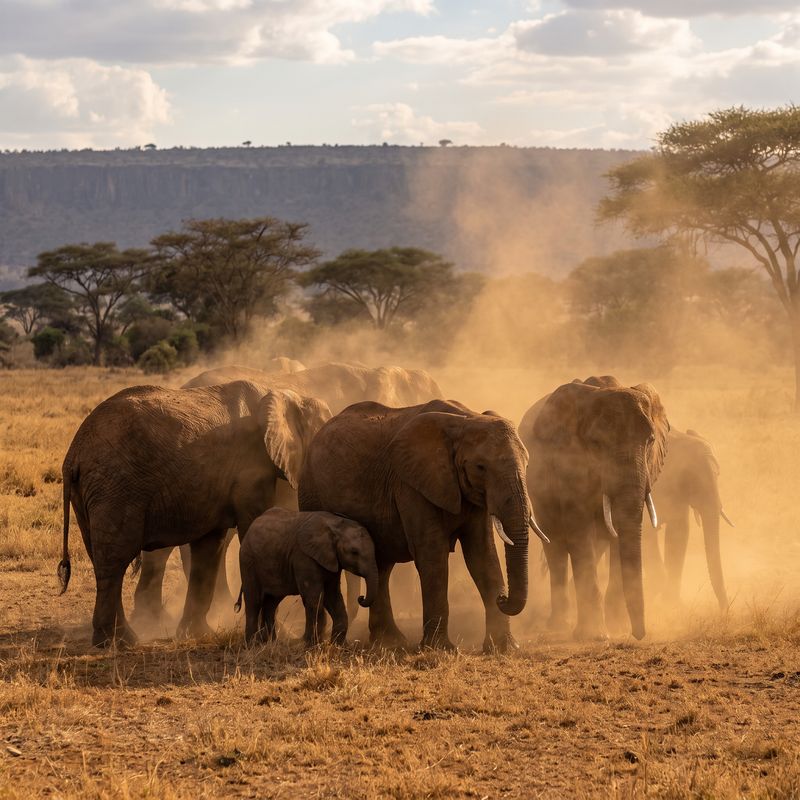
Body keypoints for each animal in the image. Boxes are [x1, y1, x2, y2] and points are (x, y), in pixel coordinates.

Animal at [58, 381, 331, 646]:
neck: (283, 393)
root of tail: (73, 454)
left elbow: (209, 547)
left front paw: (197, 634)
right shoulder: (251, 469)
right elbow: (251, 529)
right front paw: (280, 636)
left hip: (92, 494)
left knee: (102, 558)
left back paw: (122, 639)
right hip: (115, 488)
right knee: (114, 560)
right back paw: (115, 642)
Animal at [235, 508, 378, 644]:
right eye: (354, 552)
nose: (361, 598)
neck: (335, 525)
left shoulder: (331, 561)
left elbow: (333, 597)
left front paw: (338, 646)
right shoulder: (304, 557)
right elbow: (314, 598)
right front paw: (311, 645)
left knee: (271, 603)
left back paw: (270, 643)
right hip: (248, 562)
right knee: (254, 601)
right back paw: (252, 644)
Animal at [298, 399, 548, 652]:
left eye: (528, 465)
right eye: (480, 467)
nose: (502, 598)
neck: (465, 420)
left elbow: (482, 555)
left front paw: (504, 648)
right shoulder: (411, 484)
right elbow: (432, 554)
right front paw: (441, 649)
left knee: (380, 567)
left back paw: (390, 641)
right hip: (311, 492)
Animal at [518, 376, 669, 641]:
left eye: (650, 441)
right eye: (597, 444)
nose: (639, 635)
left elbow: (618, 532)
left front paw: (617, 627)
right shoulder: (568, 466)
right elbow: (579, 532)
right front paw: (595, 636)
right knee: (555, 543)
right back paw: (558, 624)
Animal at [643, 428, 732, 610]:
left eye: (718, 474)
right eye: (690, 478)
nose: (724, 612)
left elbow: (679, 533)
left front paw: (673, 607)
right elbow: (647, 531)